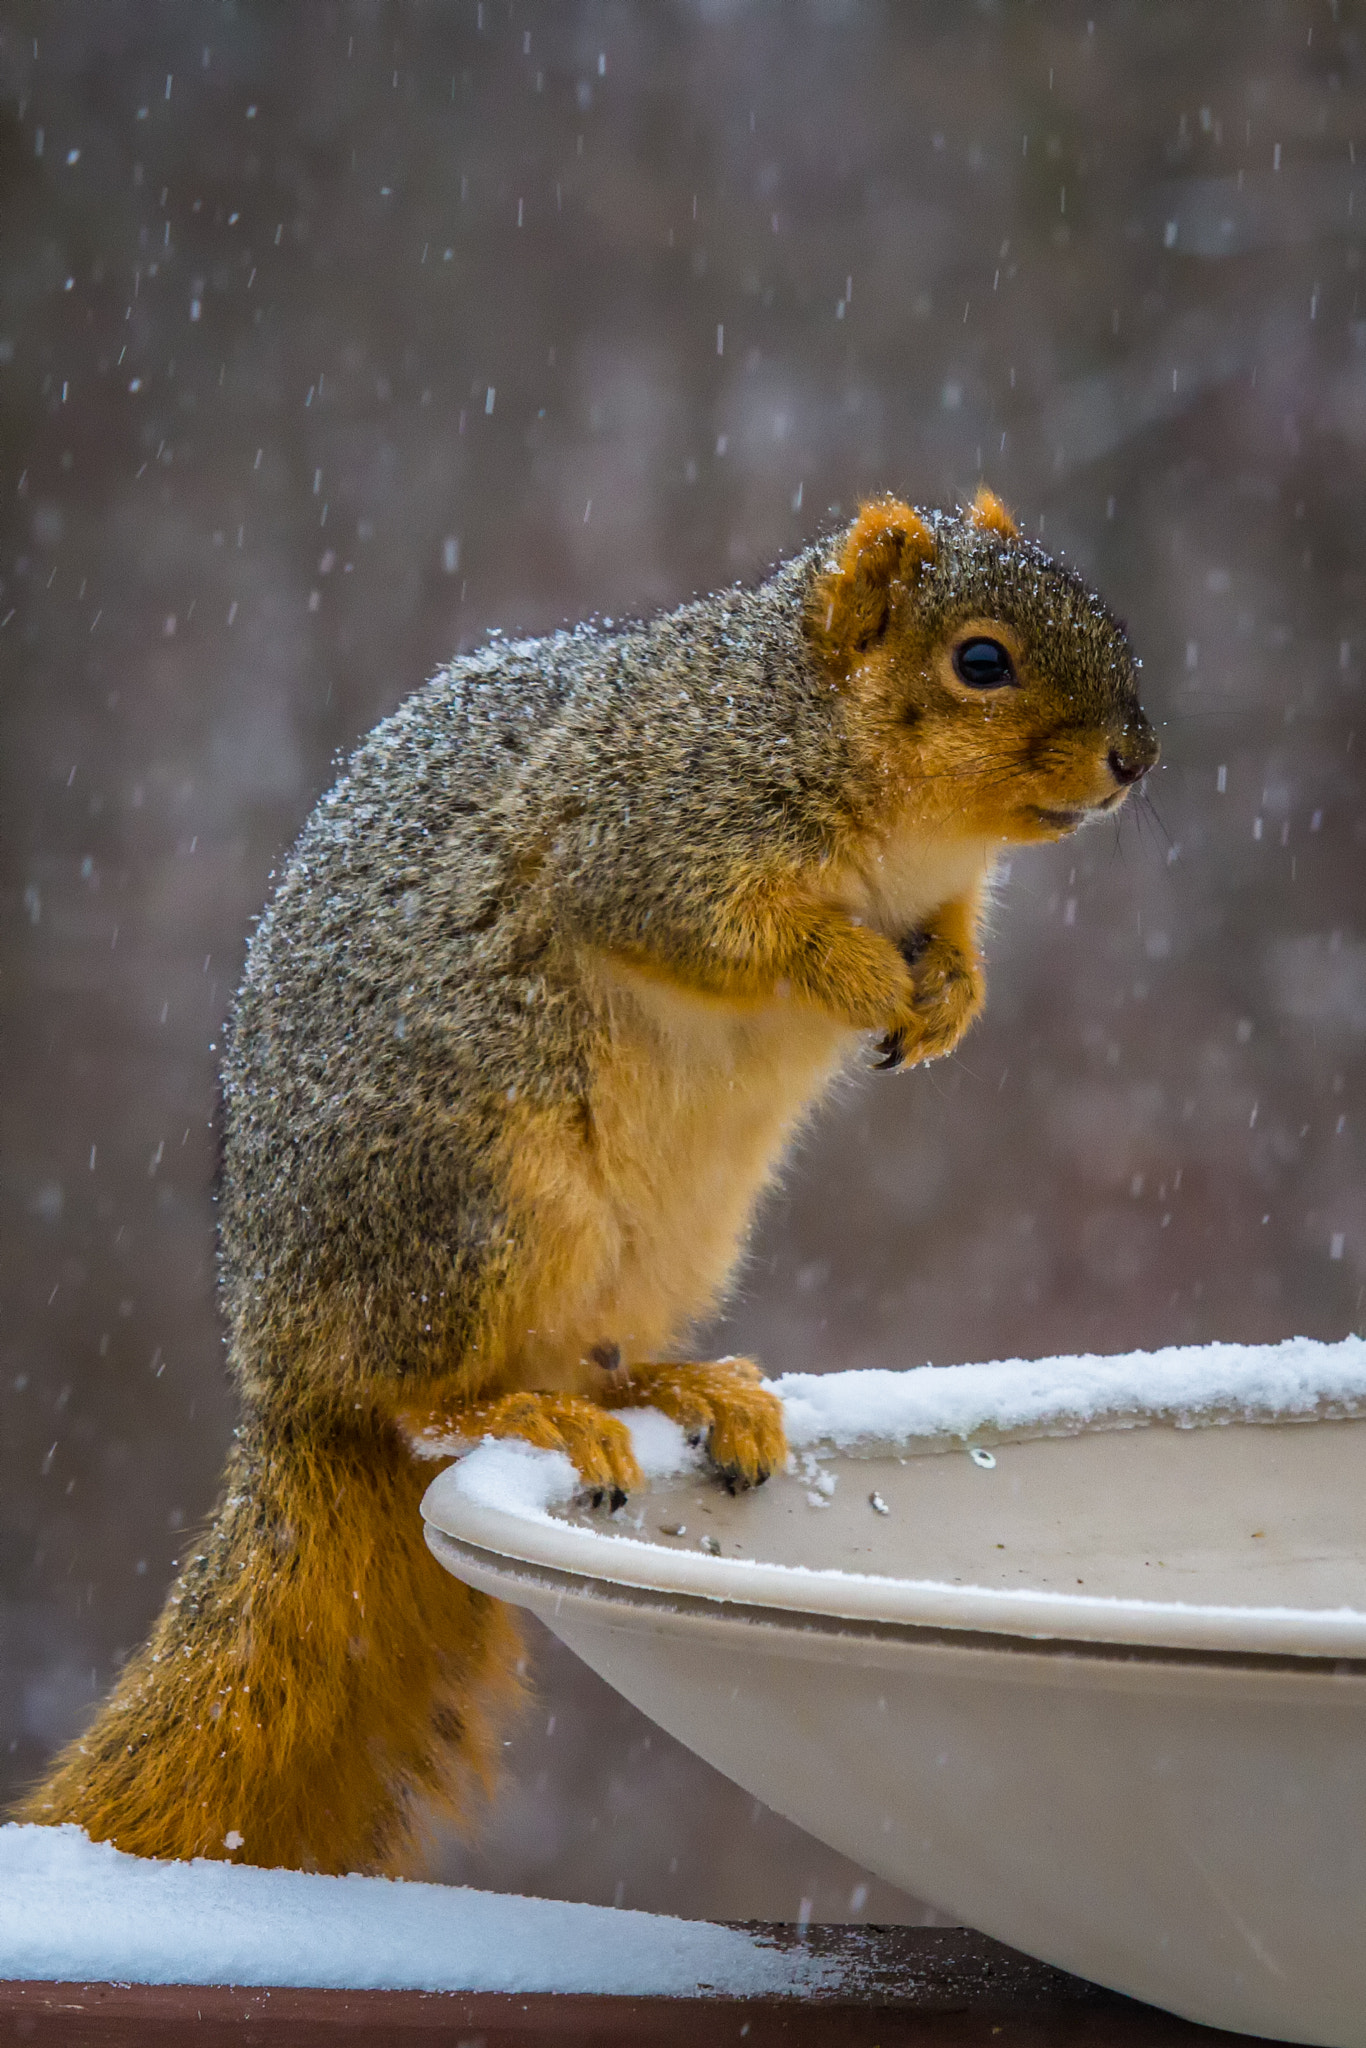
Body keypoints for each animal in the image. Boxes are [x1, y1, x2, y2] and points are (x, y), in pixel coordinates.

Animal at [21, 487, 1157, 1875]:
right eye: (979, 660)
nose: (1135, 755)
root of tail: (281, 1375)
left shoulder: (932, 891)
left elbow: (953, 947)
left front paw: (945, 1000)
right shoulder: (646, 831)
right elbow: (727, 931)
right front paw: (856, 972)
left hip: (661, 1242)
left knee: (595, 1354)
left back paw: (684, 1388)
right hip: (481, 1213)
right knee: (417, 1401)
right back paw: (524, 1413)